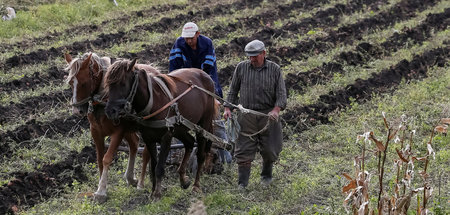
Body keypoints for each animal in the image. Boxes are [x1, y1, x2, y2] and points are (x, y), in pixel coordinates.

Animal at [63, 53, 154, 202]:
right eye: (70, 83)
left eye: (83, 83)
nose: (77, 111)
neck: (102, 100)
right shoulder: (96, 131)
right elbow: (99, 159)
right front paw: (100, 186)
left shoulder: (118, 131)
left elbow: (107, 159)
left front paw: (101, 191)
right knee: (134, 144)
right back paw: (130, 177)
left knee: (146, 152)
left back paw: (141, 183)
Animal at [105, 59, 218, 199]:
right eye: (108, 84)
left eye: (122, 83)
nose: (110, 111)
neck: (154, 102)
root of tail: (205, 75)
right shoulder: (148, 138)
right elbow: (153, 165)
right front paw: (153, 191)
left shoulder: (166, 137)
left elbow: (159, 167)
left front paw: (157, 193)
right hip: (180, 128)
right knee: (189, 142)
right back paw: (183, 179)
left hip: (203, 125)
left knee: (201, 154)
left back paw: (196, 186)